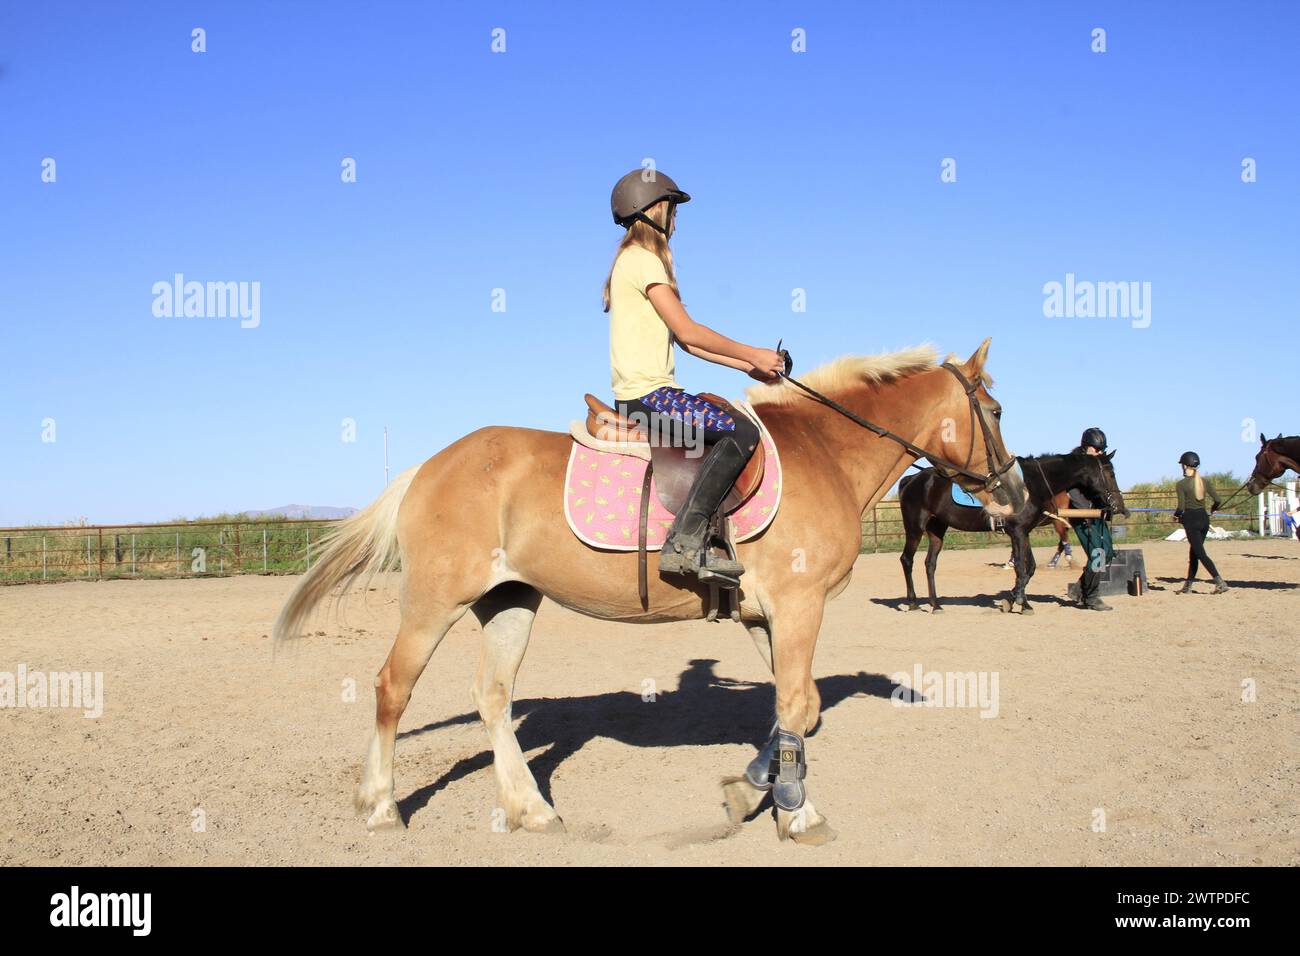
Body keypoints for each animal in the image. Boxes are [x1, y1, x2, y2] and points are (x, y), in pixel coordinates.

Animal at [274, 338, 1024, 842]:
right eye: (994, 408)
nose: (1013, 497)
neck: (825, 451)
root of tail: (428, 467)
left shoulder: (767, 617)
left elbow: (798, 708)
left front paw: (772, 798)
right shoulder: (797, 607)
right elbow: (794, 706)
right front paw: (782, 806)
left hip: (510, 600)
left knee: (492, 698)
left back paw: (531, 810)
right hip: (436, 602)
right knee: (392, 687)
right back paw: (380, 807)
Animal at [899, 455, 1123, 613]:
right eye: (1111, 473)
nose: (1118, 506)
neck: (1030, 485)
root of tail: (912, 479)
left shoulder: (1023, 532)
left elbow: (1029, 568)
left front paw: (1013, 599)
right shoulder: (1017, 532)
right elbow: (1021, 569)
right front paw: (1022, 604)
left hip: (937, 530)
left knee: (930, 564)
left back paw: (935, 605)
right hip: (915, 528)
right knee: (907, 560)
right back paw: (913, 603)